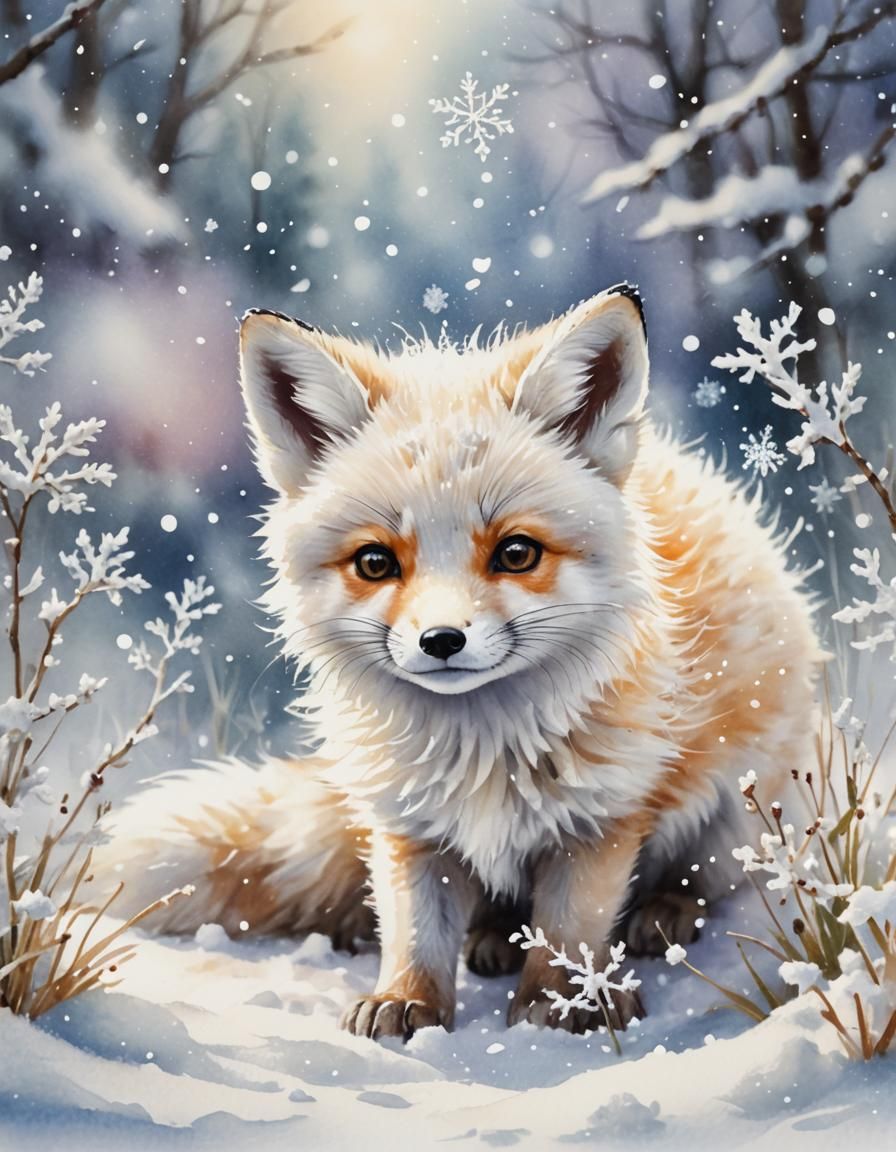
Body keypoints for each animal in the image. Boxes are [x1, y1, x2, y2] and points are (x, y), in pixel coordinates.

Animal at [97, 285, 823, 1041]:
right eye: (375, 563)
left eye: (516, 553)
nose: (441, 640)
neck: (482, 749)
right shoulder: (407, 825)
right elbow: (414, 930)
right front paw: (405, 1002)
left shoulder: (603, 817)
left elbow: (570, 927)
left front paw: (563, 1003)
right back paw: (491, 938)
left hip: (741, 804)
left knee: (702, 878)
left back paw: (662, 914)